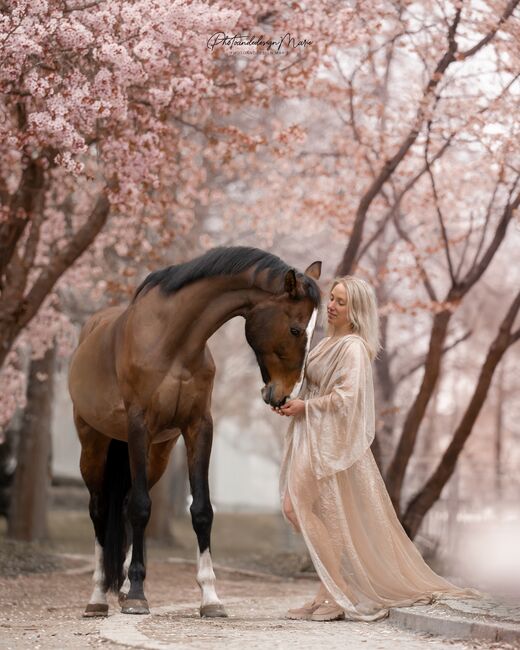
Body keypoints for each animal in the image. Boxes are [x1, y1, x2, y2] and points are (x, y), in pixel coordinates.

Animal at [68, 246, 321, 618]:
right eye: (294, 329)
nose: (286, 396)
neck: (174, 341)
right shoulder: (139, 425)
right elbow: (141, 508)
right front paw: (139, 594)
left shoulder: (198, 427)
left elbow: (201, 510)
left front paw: (210, 597)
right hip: (94, 444)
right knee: (100, 509)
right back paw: (99, 596)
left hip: (157, 453)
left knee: (124, 503)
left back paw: (123, 590)